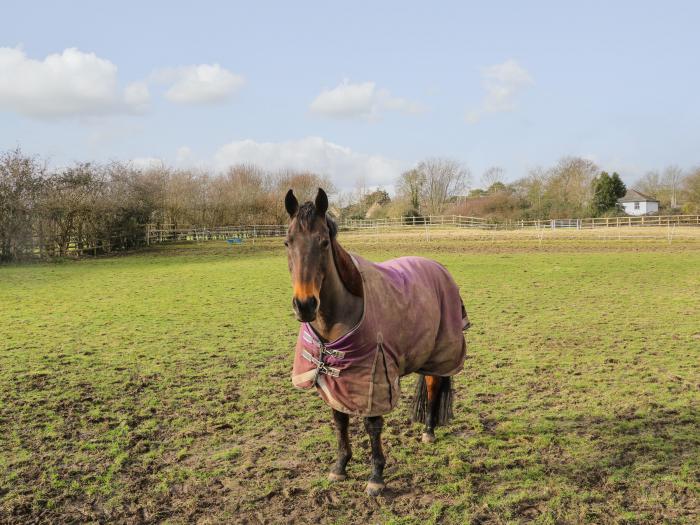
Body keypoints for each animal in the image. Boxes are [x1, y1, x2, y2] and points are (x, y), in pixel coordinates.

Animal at [282, 187, 468, 496]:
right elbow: (340, 419)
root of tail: (436, 266)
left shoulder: (373, 377)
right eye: (287, 242)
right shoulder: (335, 378)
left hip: (441, 352)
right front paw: (340, 466)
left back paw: (429, 431)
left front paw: (376, 476)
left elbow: (372, 425)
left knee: (433, 385)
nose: (305, 305)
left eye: (324, 242)